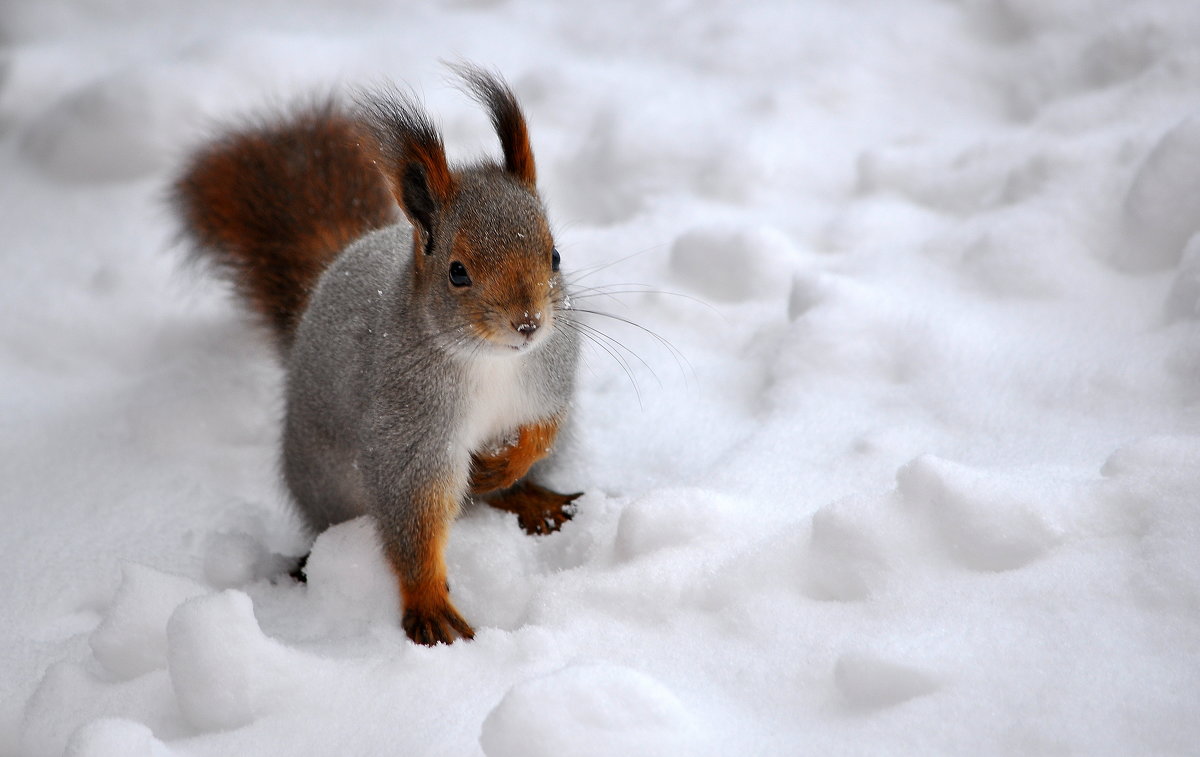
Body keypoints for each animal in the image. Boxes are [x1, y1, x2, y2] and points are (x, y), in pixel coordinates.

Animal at [172, 65, 580, 647]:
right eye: (458, 272)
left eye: (555, 255)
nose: (528, 324)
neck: (490, 359)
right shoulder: (407, 428)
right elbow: (414, 514)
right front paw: (429, 603)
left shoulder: (549, 376)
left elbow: (544, 427)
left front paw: (505, 466)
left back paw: (529, 496)